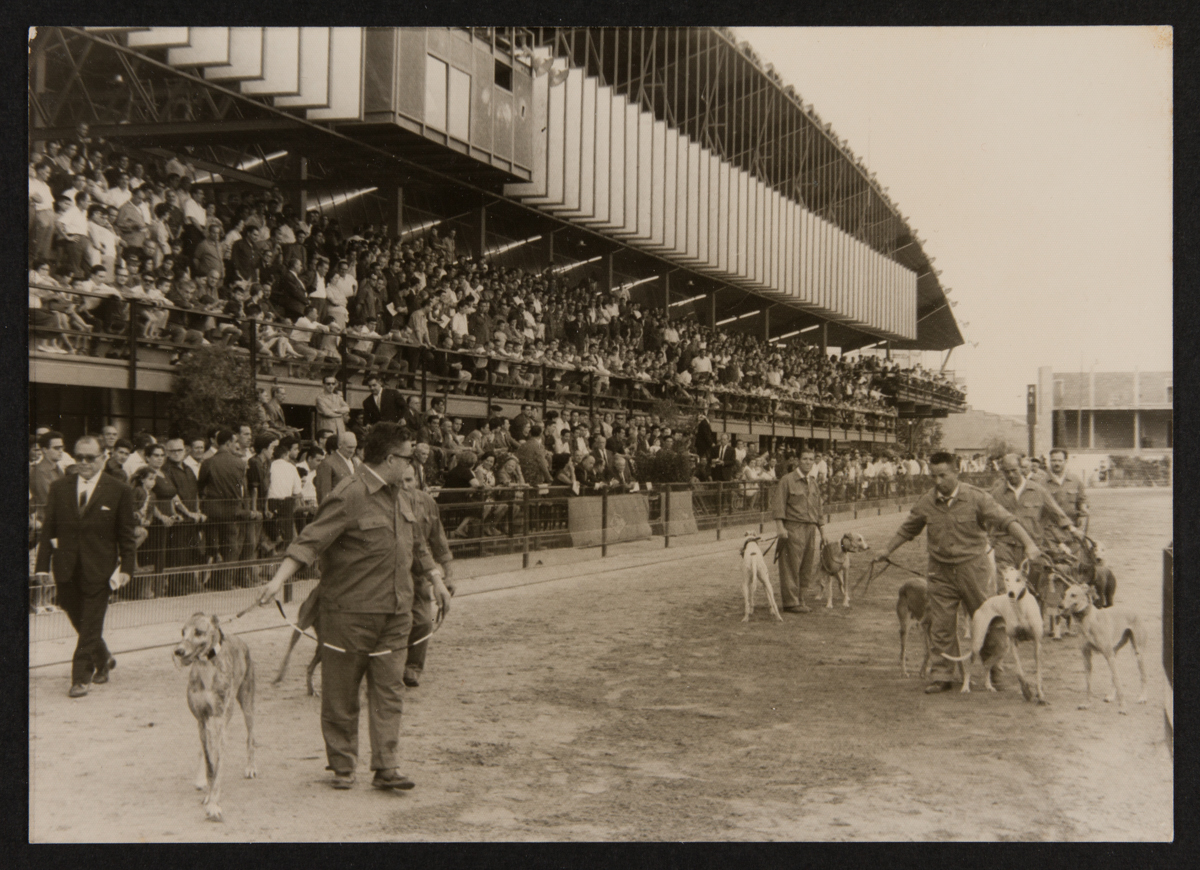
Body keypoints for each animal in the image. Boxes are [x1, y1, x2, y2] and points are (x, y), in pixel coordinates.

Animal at [174, 613, 257, 822]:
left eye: (199, 631)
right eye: (182, 632)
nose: (178, 651)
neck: (206, 667)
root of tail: (239, 639)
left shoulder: (219, 721)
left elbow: (218, 765)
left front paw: (213, 804)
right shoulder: (202, 719)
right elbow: (210, 764)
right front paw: (208, 792)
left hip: (247, 703)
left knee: (251, 737)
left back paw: (250, 767)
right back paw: (201, 779)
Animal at [941, 564, 1045, 703]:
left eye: (1018, 580)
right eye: (1006, 579)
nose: (1010, 594)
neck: (1020, 608)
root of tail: (984, 604)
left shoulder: (1037, 644)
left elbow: (1038, 673)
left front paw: (1040, 694)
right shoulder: (1014, 642)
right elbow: (1019, 671)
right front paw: (1026, 690)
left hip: (1002, 648)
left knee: (986, 665)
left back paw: (988, 686)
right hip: (978, 642)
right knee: (970, 666)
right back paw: (965, 687)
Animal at [1058, 582, 1147, 712]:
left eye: (1073, 595)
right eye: (1064, 594)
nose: (1060, 605)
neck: (1089, 621)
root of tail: (1133, 610)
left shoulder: (1108, 655)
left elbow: (1118, 681)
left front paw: (1123, 707)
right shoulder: (1087, 657)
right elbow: (1088, 683)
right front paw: (1087, 703)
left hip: (1137, 653)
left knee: (1142, 676)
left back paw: (1142, 697)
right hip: (1115, 652)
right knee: (1114, 676)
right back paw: (1110, 696)